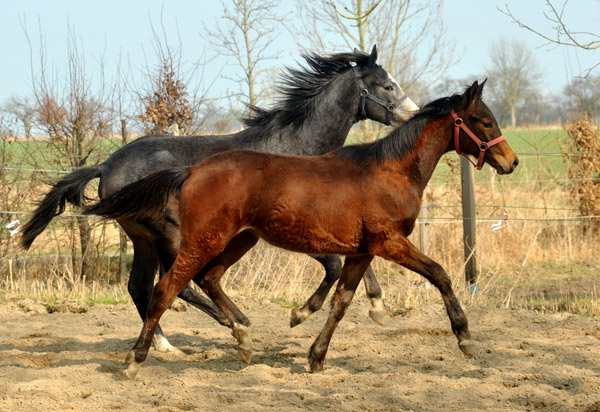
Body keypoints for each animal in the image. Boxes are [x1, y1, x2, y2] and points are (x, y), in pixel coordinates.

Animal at [21, 46, 420, 352]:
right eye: (387, 84)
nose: (413, 113)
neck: (296, 146)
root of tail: (106, 165)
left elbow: (357, 260)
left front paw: (377, 306)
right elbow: (335, 267)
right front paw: (300, 314)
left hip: (143, 237)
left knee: (140, 285)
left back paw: (166, 343)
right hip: (170, 235)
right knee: (179, 284)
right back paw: (232, 324)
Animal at [82, 79, 516, 378]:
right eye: (484, 121)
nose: (510, 162)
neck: (390, 171)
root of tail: (190, 170)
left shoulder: (362, 251)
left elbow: (342, 302)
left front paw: (316, 356)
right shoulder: (389, 242)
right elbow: (440, 274)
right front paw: (465, 338)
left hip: (240, 239)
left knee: (208, 279)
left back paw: (243, 337)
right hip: (199, 241)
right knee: (165, 290)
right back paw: (137, 360)